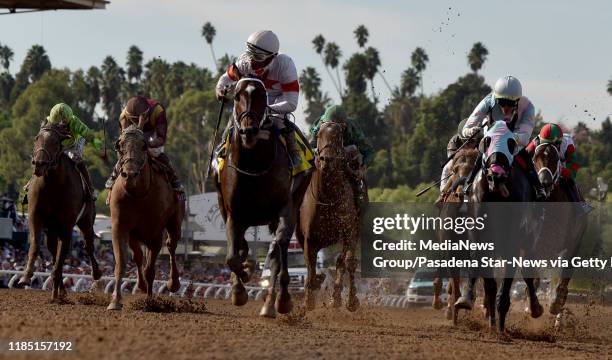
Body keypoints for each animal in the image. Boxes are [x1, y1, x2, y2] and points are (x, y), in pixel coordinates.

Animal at [17, 124, 100, 300]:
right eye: (36, 138)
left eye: (55, 142)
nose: (39, 163)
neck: (52, 185)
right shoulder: (35, 217)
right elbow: (36, 245)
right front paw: (26, 276)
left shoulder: (66, 226)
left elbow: (62, 256)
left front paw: (56, 289)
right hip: (51, 230)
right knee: (54, 252)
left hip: (86, 222)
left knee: (88, 246)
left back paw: (96, 273)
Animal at [107, 124, 184, 310]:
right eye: (119, 146)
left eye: (143, 146)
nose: (129, 175)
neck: (139, 194)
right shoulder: (120, 226)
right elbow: (122, 261)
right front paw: (115, 300)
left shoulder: (155, 232)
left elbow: (150, 269)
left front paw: (149, 302)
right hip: (135, 234)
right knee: (138, 255)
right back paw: (142, 286)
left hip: (175, 221)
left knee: (171, 245)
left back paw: (173, 283)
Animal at [214, 77, 310, 316]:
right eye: (237, 96)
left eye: (262, 96)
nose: (249, 130)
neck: (254, 167)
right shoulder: (233, 213)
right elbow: (232, 256)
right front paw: (240, 287)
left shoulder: (284, 209)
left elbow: (277, 250)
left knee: (279, 250)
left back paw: (276, 301)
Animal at [296, 121, 358, 312]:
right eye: (318, 135)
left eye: (339, 136)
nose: (327, 159)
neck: (328, 197)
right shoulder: (309, 238)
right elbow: (310, 266)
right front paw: (308, 299)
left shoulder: (349, 231)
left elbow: (349, 262)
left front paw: (351, 300)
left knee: (341, 262)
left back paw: (336, 297)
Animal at [532, 141, 588, 316]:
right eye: (535, 158)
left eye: (555, 158)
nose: (544, 182)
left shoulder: (564, 243)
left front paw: (555, 302)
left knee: (566, 273)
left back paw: (558, 301)